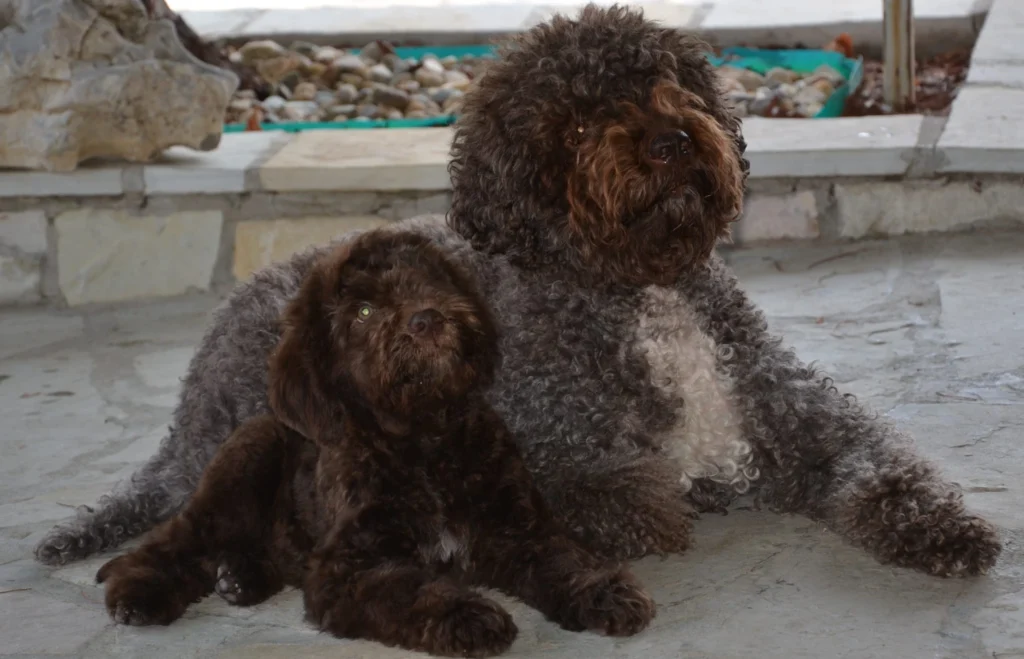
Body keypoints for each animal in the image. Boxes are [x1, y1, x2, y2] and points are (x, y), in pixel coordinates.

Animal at [37, 2, 999, 577]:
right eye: (573, 122)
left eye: (666, 81)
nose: (669, 141)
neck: (638, 288)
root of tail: (184, 414)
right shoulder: (551, 451)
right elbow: (628, 501)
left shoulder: (806, 419)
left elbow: (887, 466)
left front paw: (943, 529)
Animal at [96, 229, 655, 654]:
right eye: (363, 312)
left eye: (428, 279)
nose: (427, 319)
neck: (427, 442)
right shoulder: (349, 568)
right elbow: (412, 590)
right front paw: (467, 615)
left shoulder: (519, 530)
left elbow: (566, 561)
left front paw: (603, 593)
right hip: (239, 469)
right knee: (176, 539)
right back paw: (140, 591)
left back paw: (239, 577)